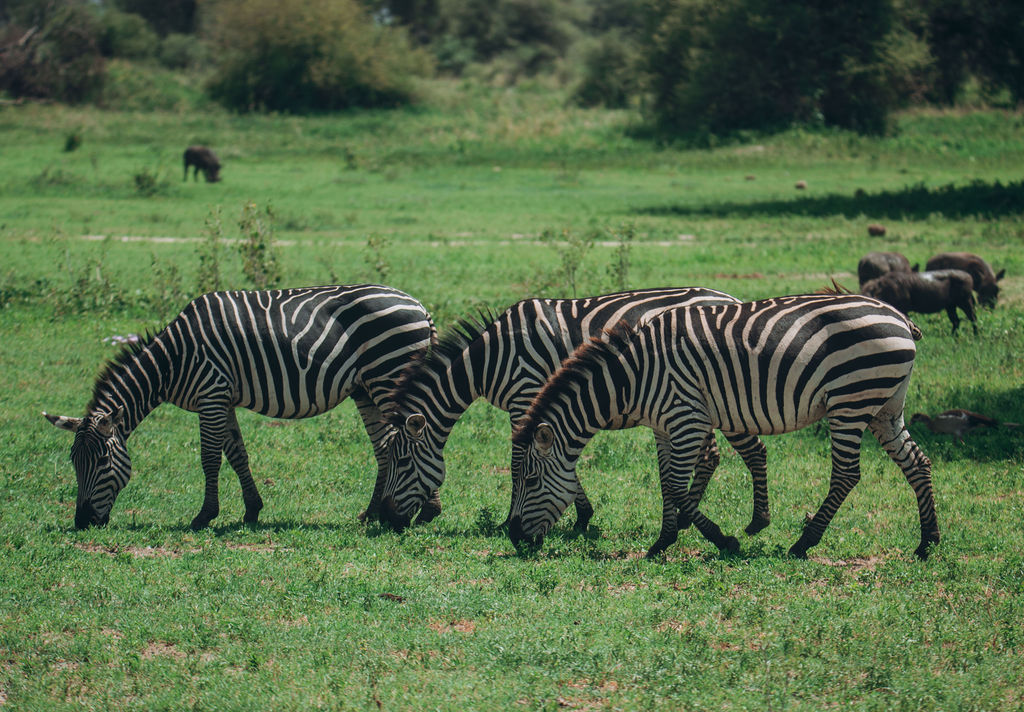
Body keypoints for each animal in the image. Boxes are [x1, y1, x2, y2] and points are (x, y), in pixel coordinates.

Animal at [44, 285, 436, 530]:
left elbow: (210, 457)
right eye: (74, 462)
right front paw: (252, 510)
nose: (83, 522)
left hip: (388, 375)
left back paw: (425, 511)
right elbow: (237, 454)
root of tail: (419, 305)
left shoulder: (211, 394)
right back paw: (373, 513)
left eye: (102, 461)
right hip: (366, 389)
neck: (173, 361)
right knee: (385, 448)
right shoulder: (224, 398)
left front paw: (204, 516)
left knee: (414, 439)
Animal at [378, 287, 772, 540]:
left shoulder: (526, 395)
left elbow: (519, 461)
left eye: (401, 461)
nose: (387, 520)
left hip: (724, 400)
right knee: (710, 455)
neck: (489, 360)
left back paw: (753, 522)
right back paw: (689, 517)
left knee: (747, 451)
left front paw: (510, 521)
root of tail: (730, 298)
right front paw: (581, 515)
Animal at [509, 293, 939, 560]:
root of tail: (899, 317)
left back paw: (803, 543)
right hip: (885, 406)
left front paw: (721, 540)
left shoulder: (685, 417)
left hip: (850, 401)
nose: (513, 537)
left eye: (530, 480)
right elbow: (666, 482)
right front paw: (663, 540)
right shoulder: (664, 425)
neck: (633, 377)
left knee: (847, 474)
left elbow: (677, 487)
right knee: (917, 463)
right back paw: (928, 543)